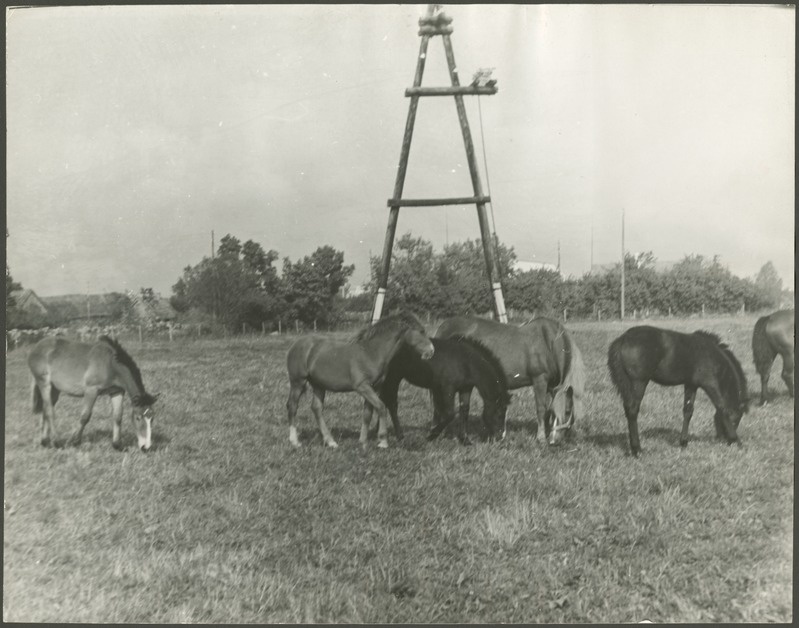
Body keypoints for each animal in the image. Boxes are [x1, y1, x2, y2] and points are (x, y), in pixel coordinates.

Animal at [27, 334, 158, 452]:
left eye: (152, 419)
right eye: (138, 418)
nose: (146, 447)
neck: (110, 363)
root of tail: (36, 347)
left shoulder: (117, 391)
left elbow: (117, 416)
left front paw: (117, 445)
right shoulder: (91, 391)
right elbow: (85, 416)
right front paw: (75, 441)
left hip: (54, 389)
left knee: (45, 409)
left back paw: (45, 441)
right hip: (44, 384)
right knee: (49, 411)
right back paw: (56, 442)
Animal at [284, 312, 434, 448]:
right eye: (421, 331)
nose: (431, 351)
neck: (371, 352)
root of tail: (296, 344)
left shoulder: (375, 387)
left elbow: (367, 414)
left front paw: (363, 441)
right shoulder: (362, 387)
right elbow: (381, 407)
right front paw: (383, 441)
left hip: (318, 385)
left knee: (316, 408)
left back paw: (331, 441)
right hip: (298, 382)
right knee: (293, 406)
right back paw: (295, 441)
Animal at [376, 336, 512, 444]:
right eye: (499, 413)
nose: (499, 438)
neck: (466, 361)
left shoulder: (465, 388)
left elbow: (464, 411)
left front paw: (465, 439)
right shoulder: (448, 388)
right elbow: (450, 413)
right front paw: (431, 435)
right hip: (393, 378)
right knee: (392, 404)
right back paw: (399, 435)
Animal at [438, 316, 588, 444]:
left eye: (567, 412)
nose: (554, 440)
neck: (549, 343)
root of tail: (443, 327)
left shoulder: (550, 385)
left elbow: (546, 410)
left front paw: (544, 434)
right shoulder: (539, 380)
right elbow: (540, 408)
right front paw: (540, 437)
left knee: (463, 408)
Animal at [608, 324, 752, 456]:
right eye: (736, 419)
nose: (723, 439)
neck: (711, 355)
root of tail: (623, 338)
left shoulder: (691, 385)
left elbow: (688, 411)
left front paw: (683, 442)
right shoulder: (710, 384)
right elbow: (722, 408)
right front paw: (737, 441)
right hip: (639, 382)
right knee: (633, 410)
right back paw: (637, 449)